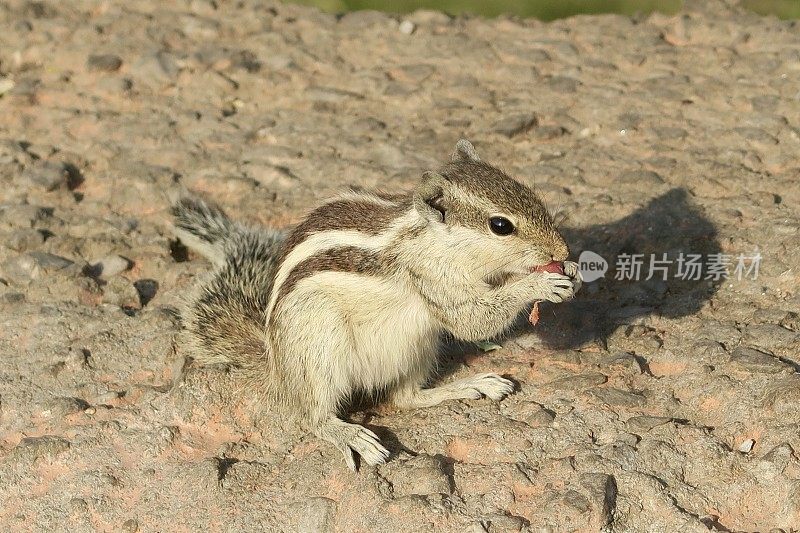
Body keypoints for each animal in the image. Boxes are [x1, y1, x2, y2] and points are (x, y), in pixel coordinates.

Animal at [172, 140, 580, 470]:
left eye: (528, 191)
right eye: (500, 225)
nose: (561, 251)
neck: (431, 239)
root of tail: (276, 367)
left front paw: (572, 272)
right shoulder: (434, 279)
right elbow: (473, 321)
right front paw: (538, 283)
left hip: (417, 348)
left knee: (407, 398)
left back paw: (472, 385)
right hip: (317, 349)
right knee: (312, 415)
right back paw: (350, 435)